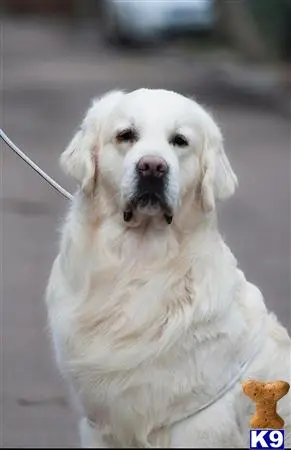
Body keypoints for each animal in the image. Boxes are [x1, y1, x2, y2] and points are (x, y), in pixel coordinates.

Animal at [44, 88, 290, 446]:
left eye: (180, 141)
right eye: (126, 135)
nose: (152, 167)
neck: (140, 264)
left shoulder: (197, 424)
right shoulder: (100, 428)